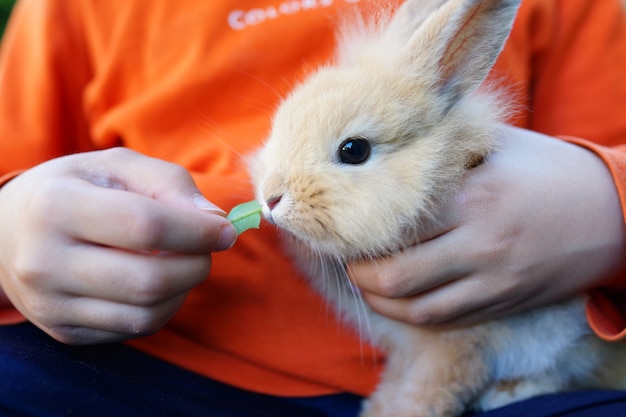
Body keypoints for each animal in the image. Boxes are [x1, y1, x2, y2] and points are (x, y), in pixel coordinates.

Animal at [247, 0, 624, 416]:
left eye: (354, 150)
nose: (271, 198)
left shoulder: (454, 346)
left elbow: (427, 392)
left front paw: (397, 412)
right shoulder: (407, 350)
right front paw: (376, 408)